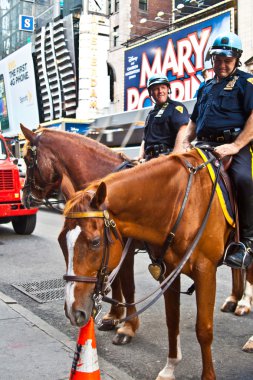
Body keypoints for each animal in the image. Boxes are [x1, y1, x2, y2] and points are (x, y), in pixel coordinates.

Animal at [20, 124, 140, 344]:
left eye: (27, 160)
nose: (25, 197)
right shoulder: (111, 247)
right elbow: (114, 281)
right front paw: (113, 316)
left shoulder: (124, 250)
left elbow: (127, 286)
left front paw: (128, 327)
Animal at [60, 150, 248, 378]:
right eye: (61, 241)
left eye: (95, 242)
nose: (73, 311)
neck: (183, 204)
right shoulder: (169, 272)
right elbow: (172, 320)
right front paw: (170, 367)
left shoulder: (205, 271)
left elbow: (204, 329)